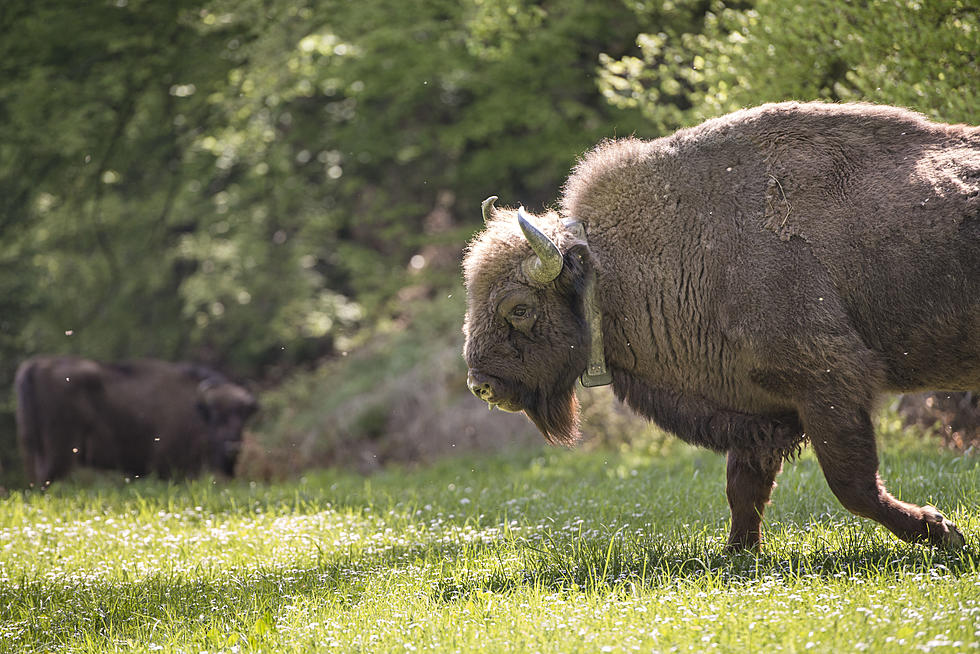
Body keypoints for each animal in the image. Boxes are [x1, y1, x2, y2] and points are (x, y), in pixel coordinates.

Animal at [15, 354, 258, 486]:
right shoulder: (170, 468)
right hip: (60, 452)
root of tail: (37, 365)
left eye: (243, 416)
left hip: (33, 449)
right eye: (216, 416)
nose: (232, 447)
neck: (195, 407)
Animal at [464, 101, 976, 552]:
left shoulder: (831, 383)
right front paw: (736, 554)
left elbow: (852, 485)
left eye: (519, 308)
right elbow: (743, 490)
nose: (480, 384)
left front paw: (943, 531)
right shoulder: (760, 413)